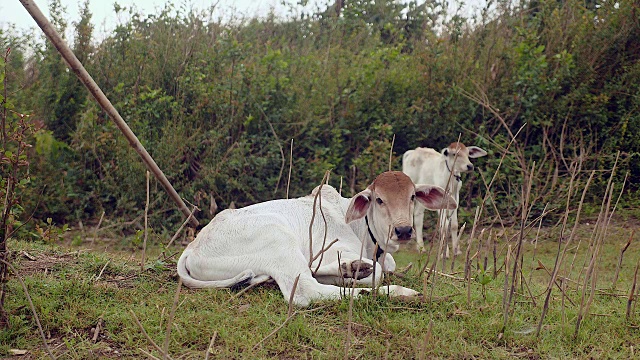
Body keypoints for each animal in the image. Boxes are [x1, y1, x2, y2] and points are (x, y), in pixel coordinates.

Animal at [175, 170, 456, 306]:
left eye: (412, 196)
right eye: (379, 199)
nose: (404, 230)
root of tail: (193, 247)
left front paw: (349, 269)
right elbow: (375, 274)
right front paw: (354, 270)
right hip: (278, 238)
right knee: (305, 291)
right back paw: (396, 291)